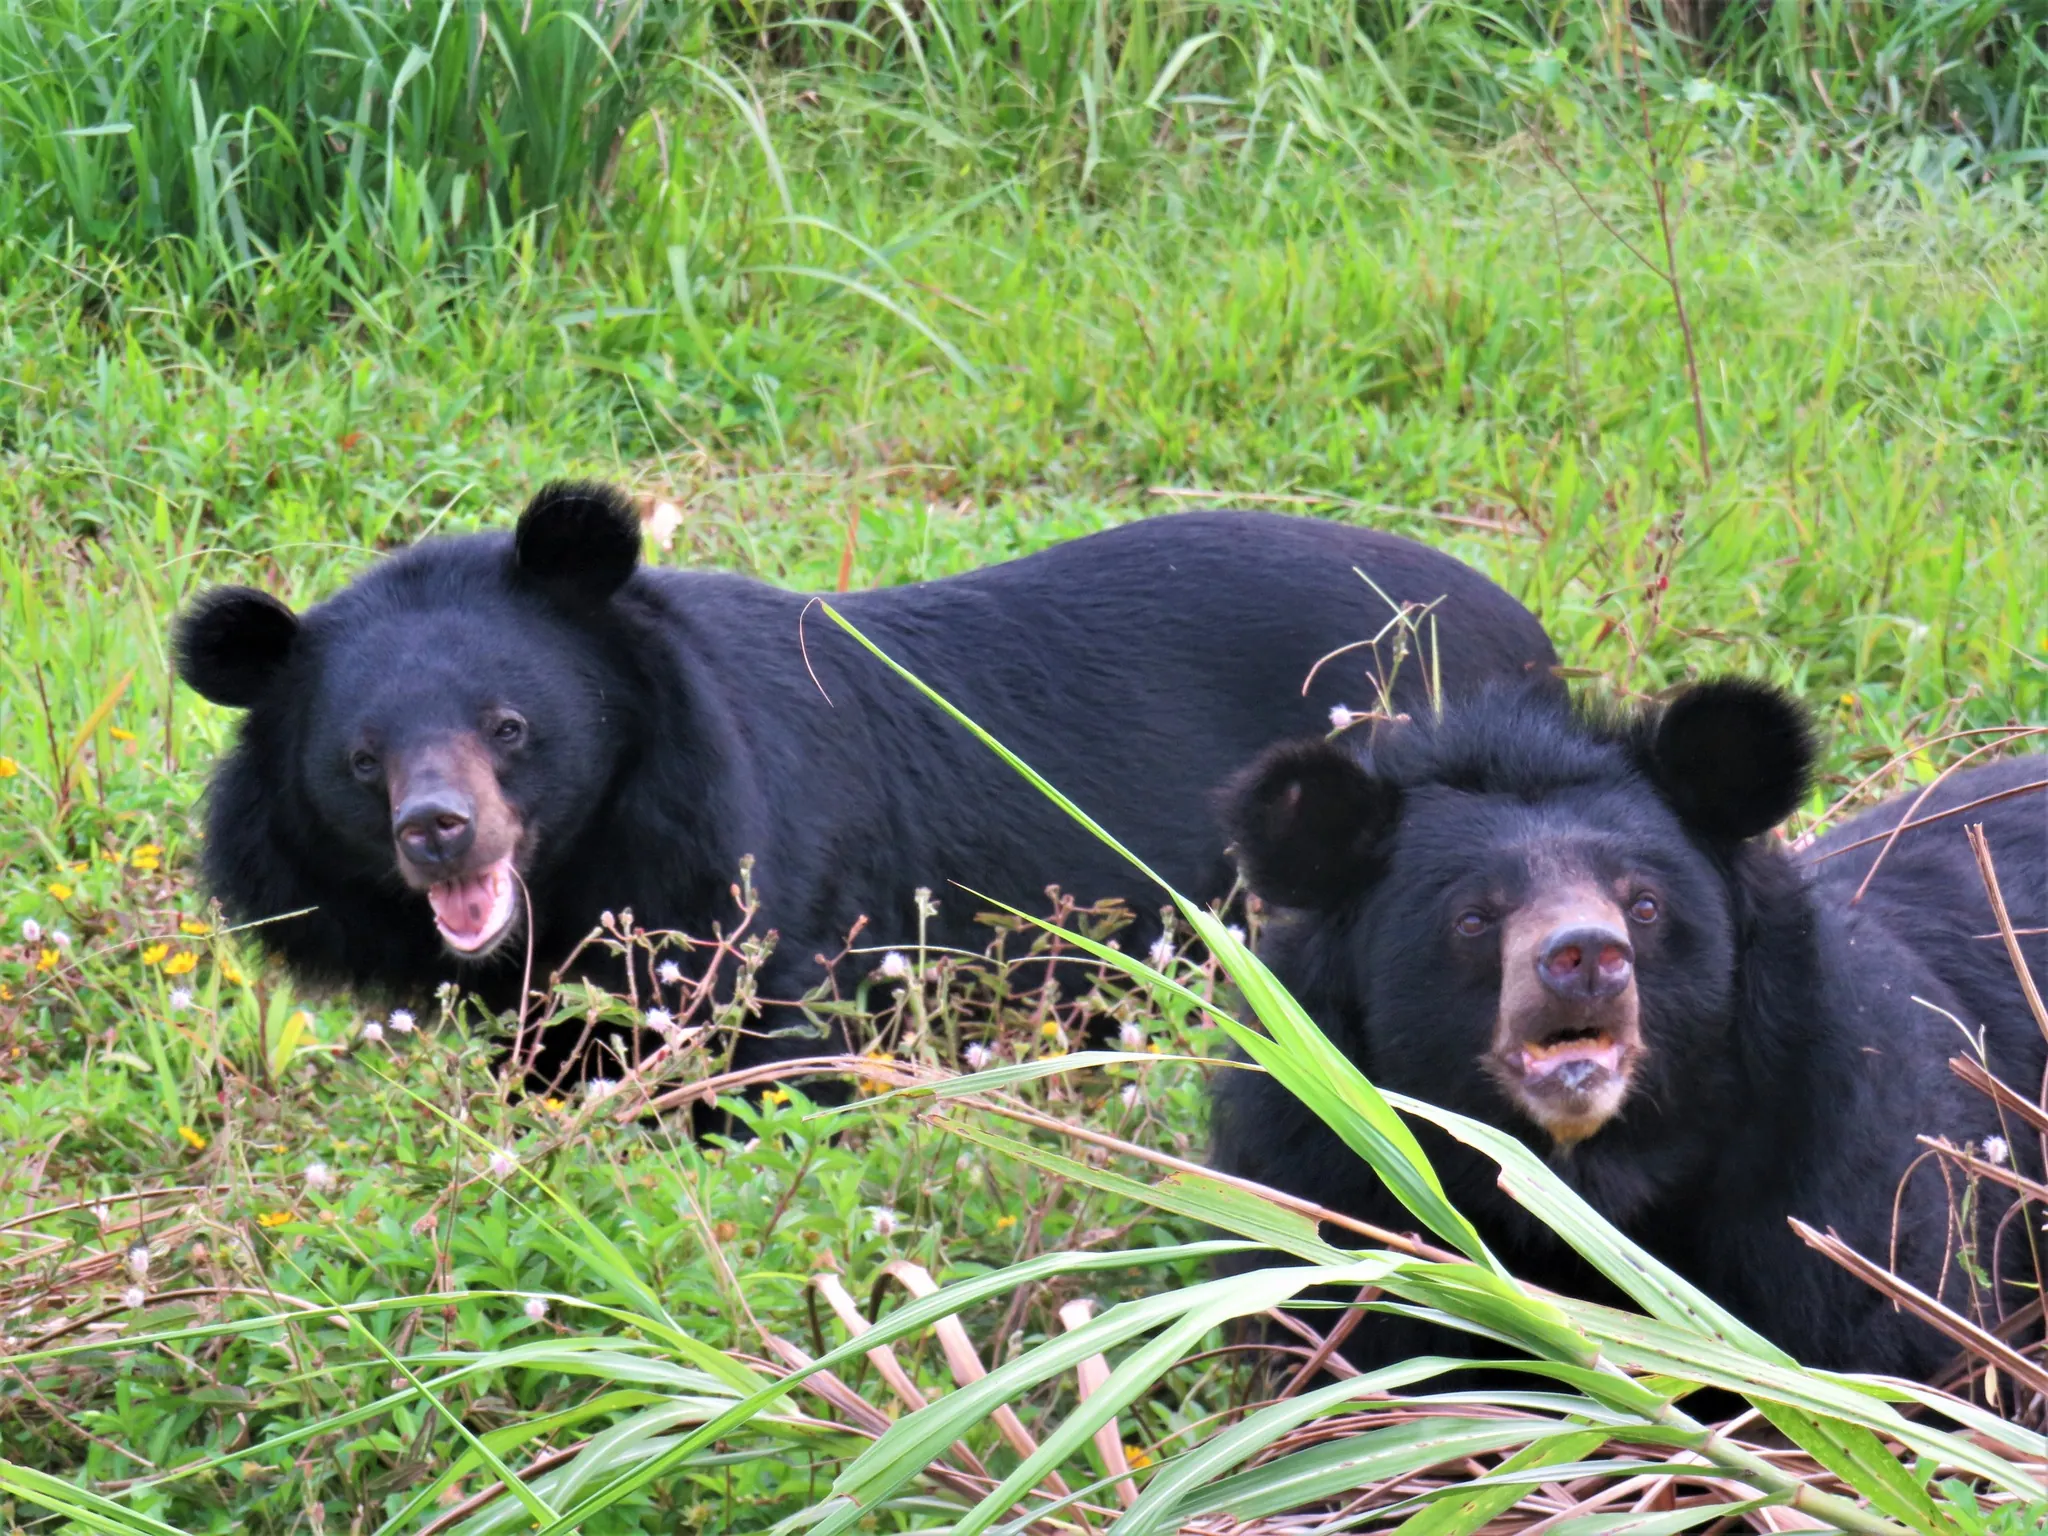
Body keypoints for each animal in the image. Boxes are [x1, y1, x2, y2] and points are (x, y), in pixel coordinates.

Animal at [172, 482, 1562, 1082]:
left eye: (509, 726)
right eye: (359, 762)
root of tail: (1519, 627)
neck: (580, 870)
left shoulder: (750, 883)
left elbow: (770, 1066)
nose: (441, 833)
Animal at [1210, 678, 2048, 1382]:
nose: (1584, 956)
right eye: (1473, 918)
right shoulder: (1322, 1171)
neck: (1593, 1173)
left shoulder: (1838, 1171)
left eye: (1643, 905)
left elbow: (1876, 1330)